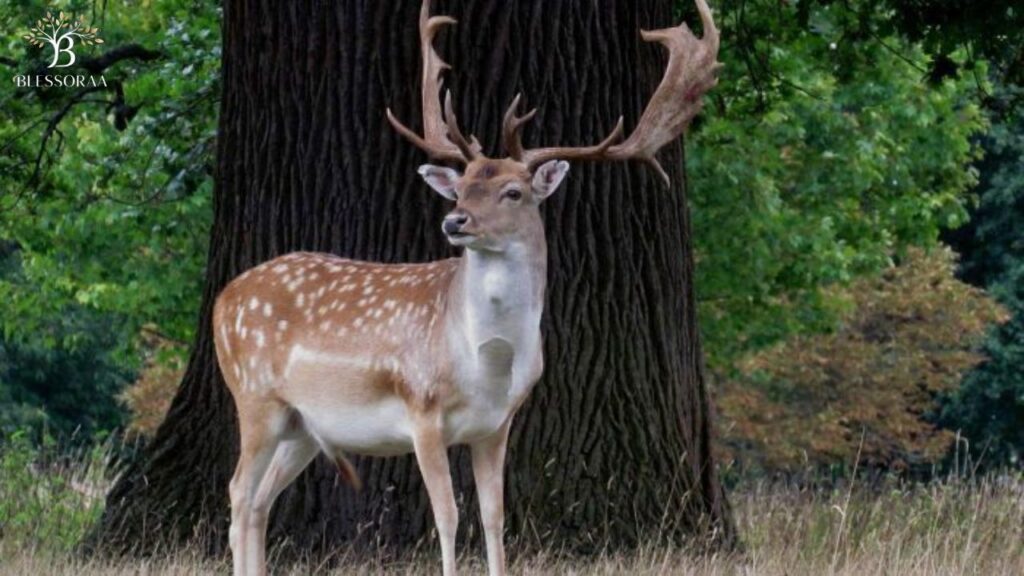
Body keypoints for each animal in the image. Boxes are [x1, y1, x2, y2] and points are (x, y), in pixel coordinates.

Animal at [212, 1, 719, 574]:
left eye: (513, 191)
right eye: (462, 186)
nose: (454, 221)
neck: (487, 361)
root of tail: (223, 299)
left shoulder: (497, 425)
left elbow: (495, 518)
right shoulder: (422, 409)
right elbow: (449, 518)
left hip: (304, 426)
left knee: (258, 502)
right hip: (255, 395)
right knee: (236, 493)